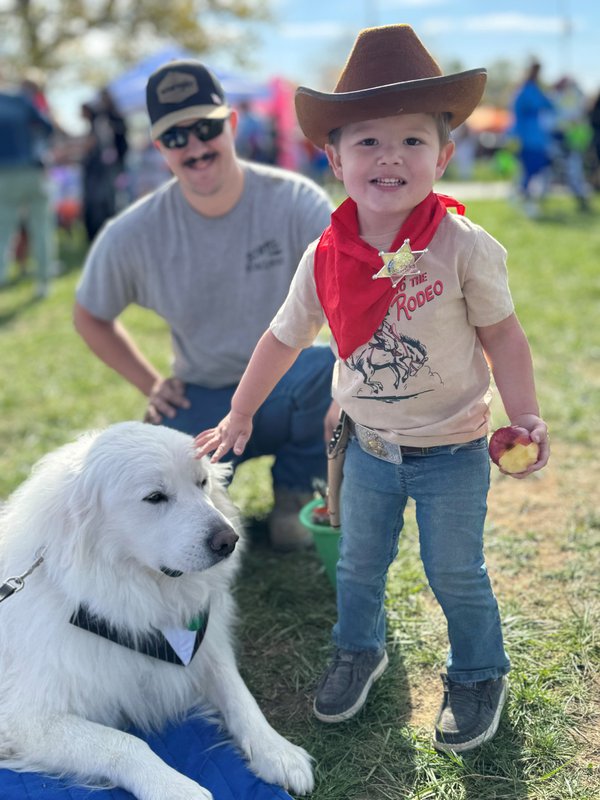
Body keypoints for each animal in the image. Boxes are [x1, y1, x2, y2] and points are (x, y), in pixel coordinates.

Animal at [0, 418, 314, 800]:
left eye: (202, 483)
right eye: (155, 497)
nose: (230, 540)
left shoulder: (208, 653)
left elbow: (240, 696)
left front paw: (278, 751)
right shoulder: (25, 718)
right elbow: (123, 743)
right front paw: (176, 788)